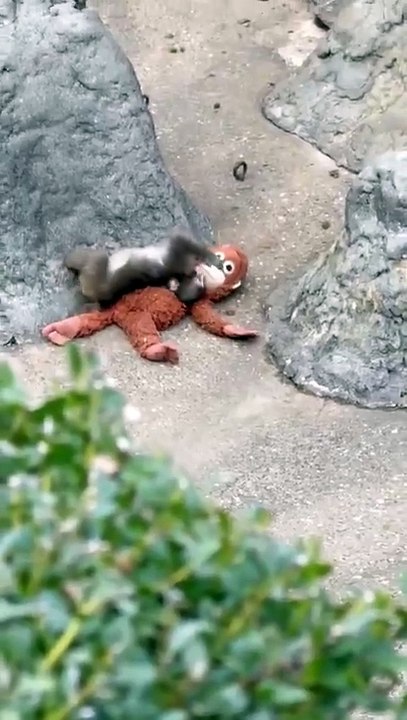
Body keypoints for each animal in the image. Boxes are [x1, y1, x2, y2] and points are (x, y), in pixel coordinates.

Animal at [65, 231, 222, 306]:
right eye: (199, 278)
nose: (197, 271)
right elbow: (180, 240)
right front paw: (210, 257)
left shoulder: (174, 262)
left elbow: (179, 240)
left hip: (93, 273)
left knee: (96, 258)